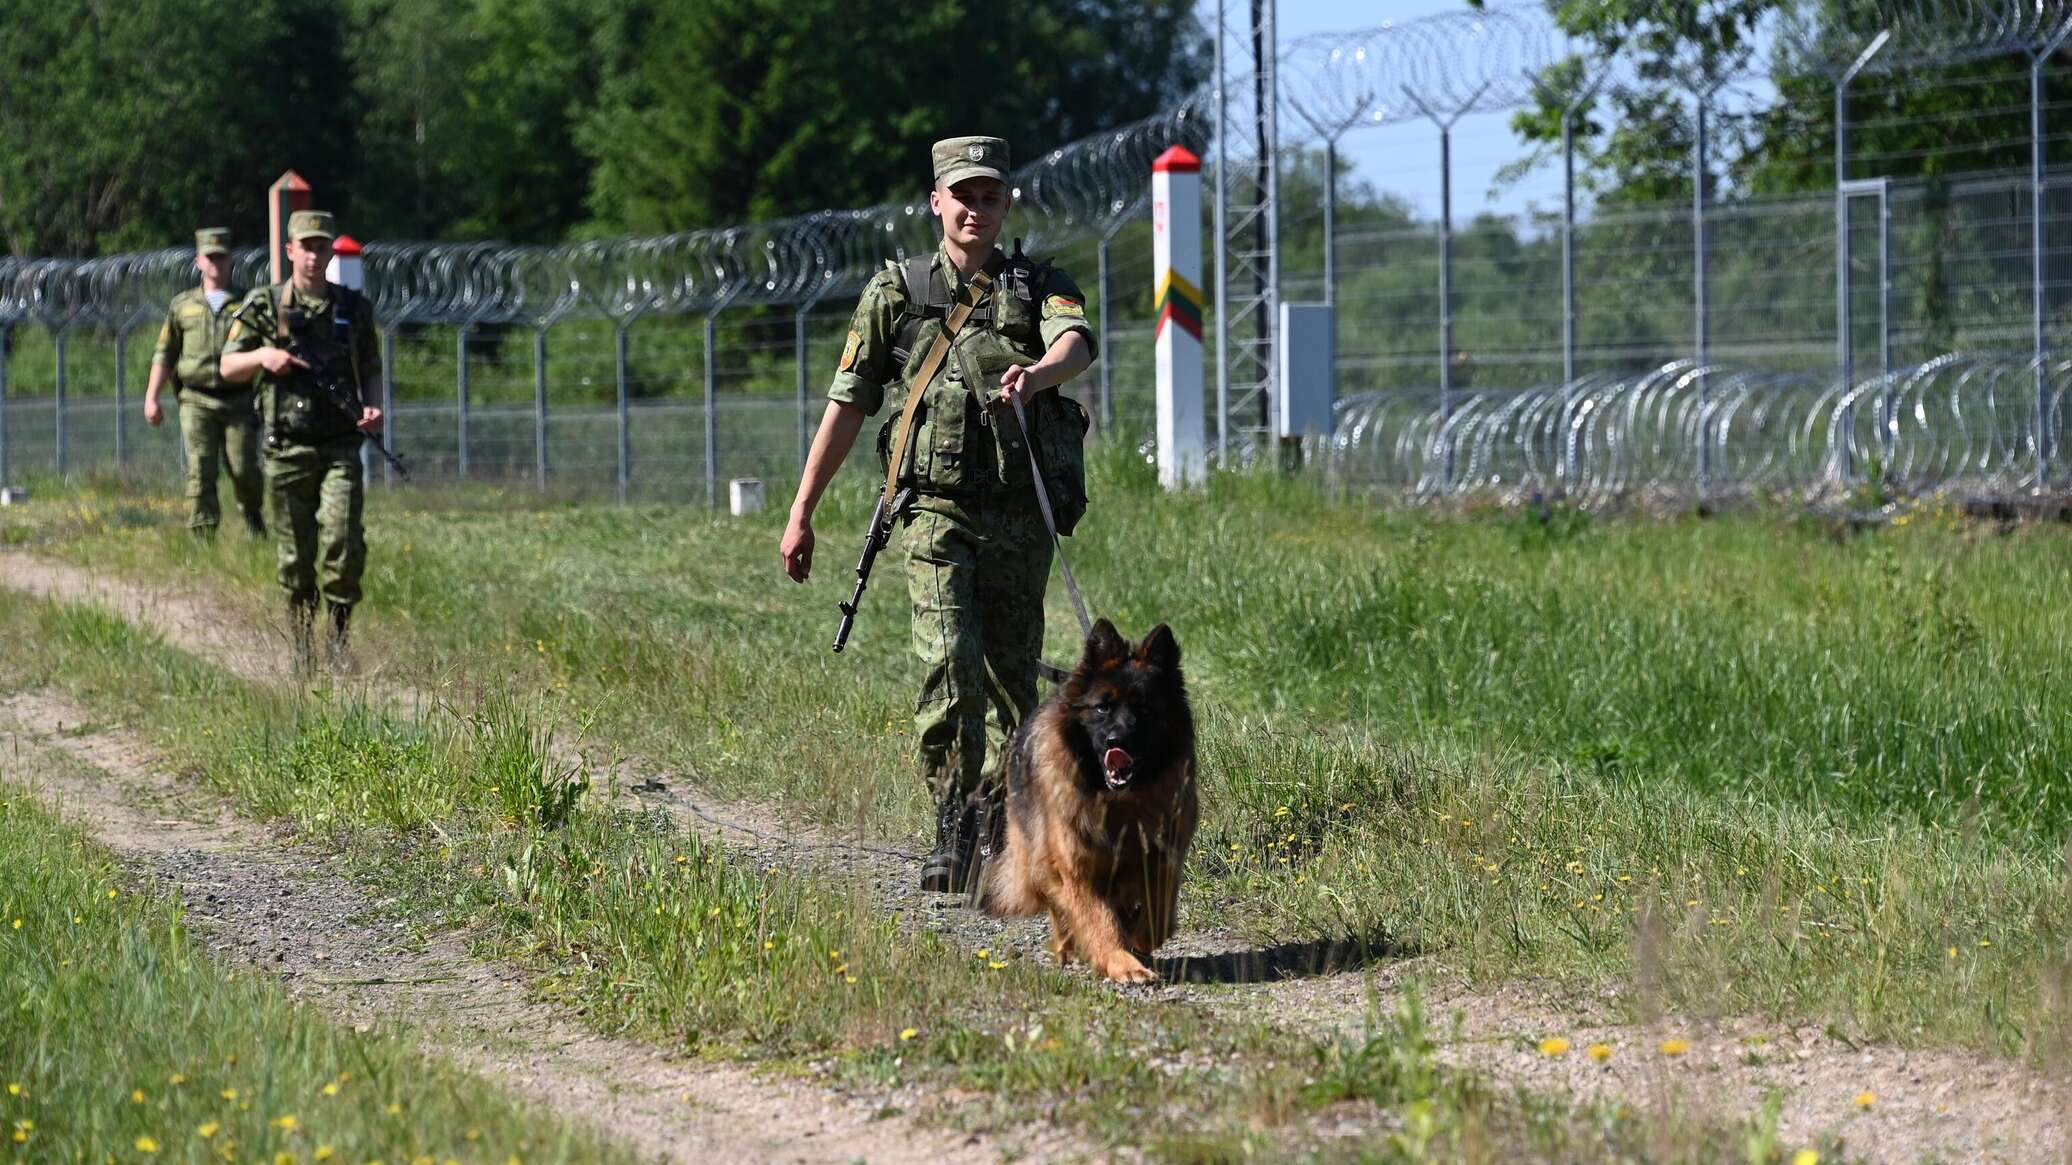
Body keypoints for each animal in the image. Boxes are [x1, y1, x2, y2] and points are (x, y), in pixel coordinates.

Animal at [982, 617, 1201, 978]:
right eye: (1103, 707)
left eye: (1144, 708)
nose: (1118, 741)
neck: (1119, 803)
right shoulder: (1076, 866)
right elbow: (1098, 919)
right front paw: (1122, 962)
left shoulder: (1163, 857)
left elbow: (1158, 913)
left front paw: (1139, 940)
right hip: (1039, 854)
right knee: (1058, 906)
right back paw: (1067, 947)